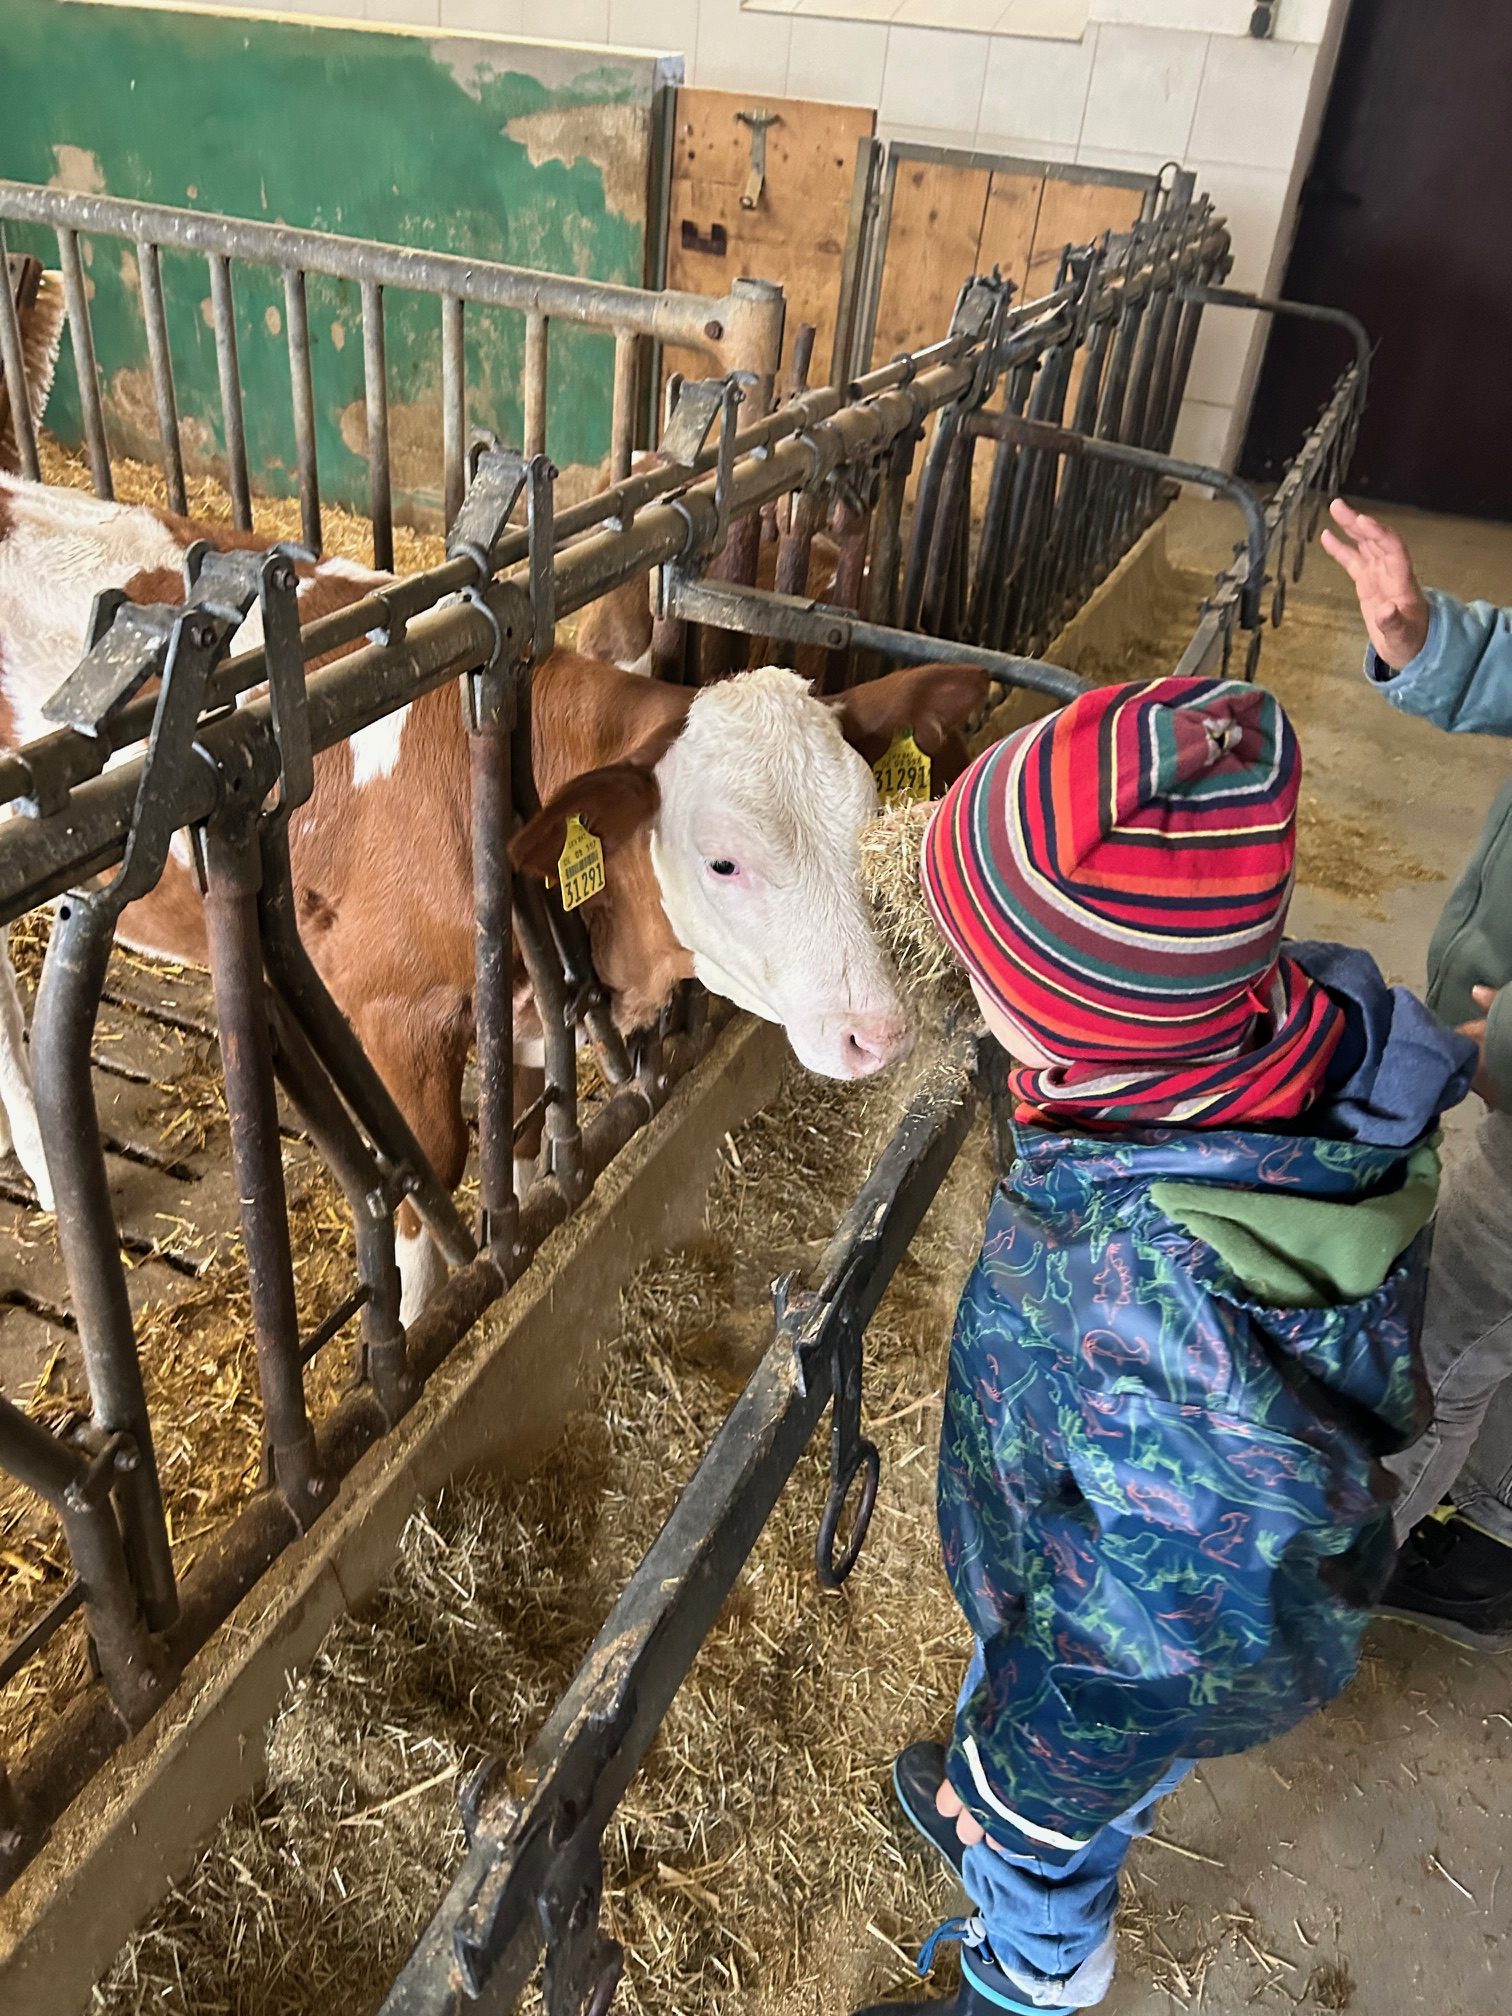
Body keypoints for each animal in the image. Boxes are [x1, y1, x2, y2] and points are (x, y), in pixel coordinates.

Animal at [0, 471, 995, 1322]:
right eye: (723, 863)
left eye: (868, 817)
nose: (880, 1032)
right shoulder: (389, 1009)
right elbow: (428, 1179)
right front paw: (416, 1325)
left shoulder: (518, 1008)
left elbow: (512, 1141)